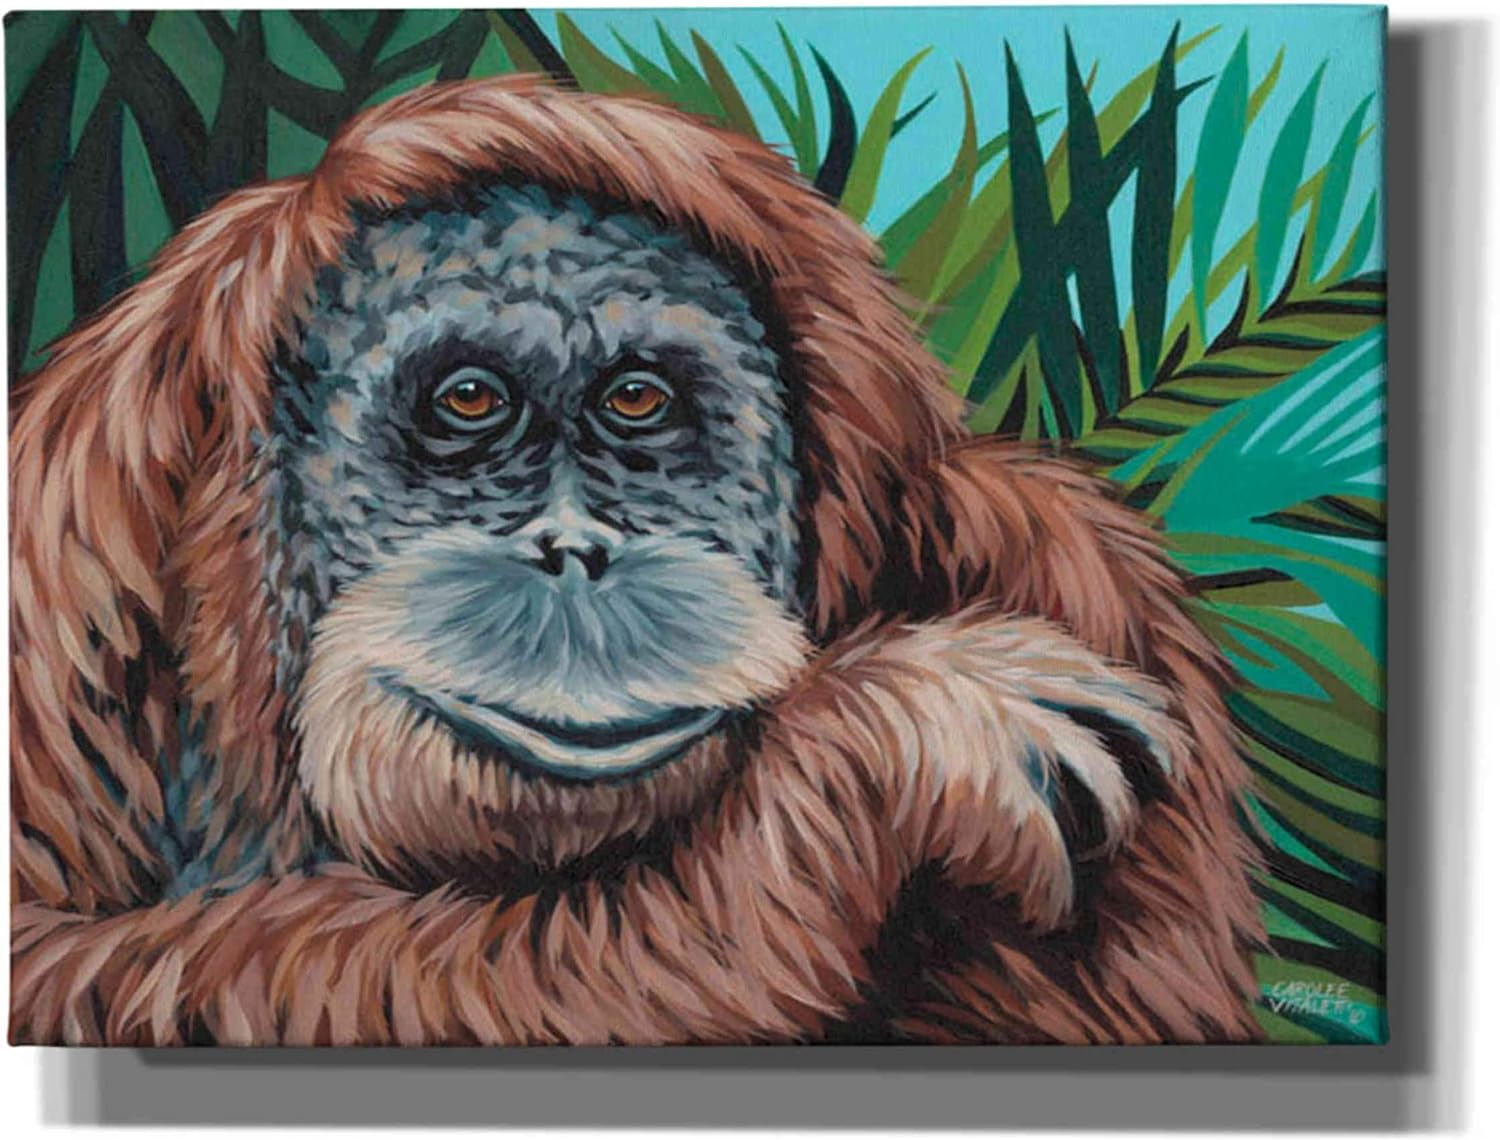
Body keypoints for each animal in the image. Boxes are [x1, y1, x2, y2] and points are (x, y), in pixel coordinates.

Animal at [9, 77, 1264, 1045]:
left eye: (637, 402)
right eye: (470, 402)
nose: (575, 553)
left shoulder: (1066, 560)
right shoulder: (58, 563)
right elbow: (59, 965)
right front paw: (890, 744)